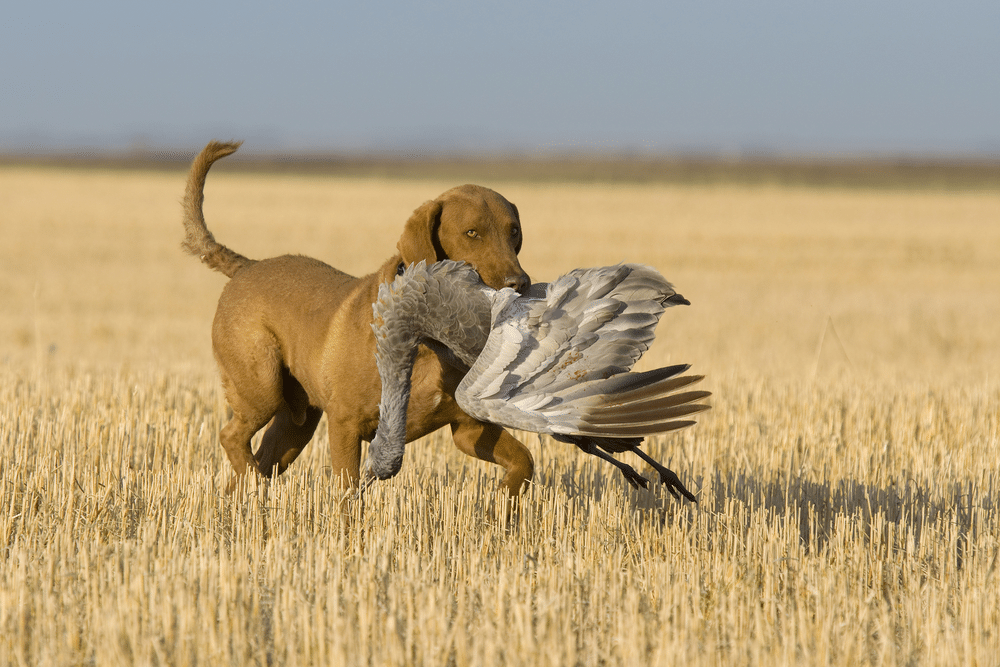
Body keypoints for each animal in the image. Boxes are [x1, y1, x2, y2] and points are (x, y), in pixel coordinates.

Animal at [183, 141, 536, 496]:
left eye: (514, 232)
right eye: (472, 233)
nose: (519, 283)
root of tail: (247, 266)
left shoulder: (468, 428)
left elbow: (525, 460)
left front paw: (503, 499)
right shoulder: (345, 424)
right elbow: (347, 494)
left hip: (294, 426)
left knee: (255, 460)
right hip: (261, 387)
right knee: (230, 436)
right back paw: (253, 484)